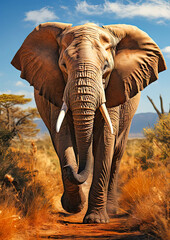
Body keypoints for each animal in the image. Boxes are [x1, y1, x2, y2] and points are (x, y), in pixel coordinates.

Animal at [11, 22, 167, 223]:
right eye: (63, 66)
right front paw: (74, 206)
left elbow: (106, 140)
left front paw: (95, 219)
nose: (69, 169)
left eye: (106, 67)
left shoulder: (114, 89)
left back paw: (111, 209)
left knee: (116, 154)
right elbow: (63, 138)